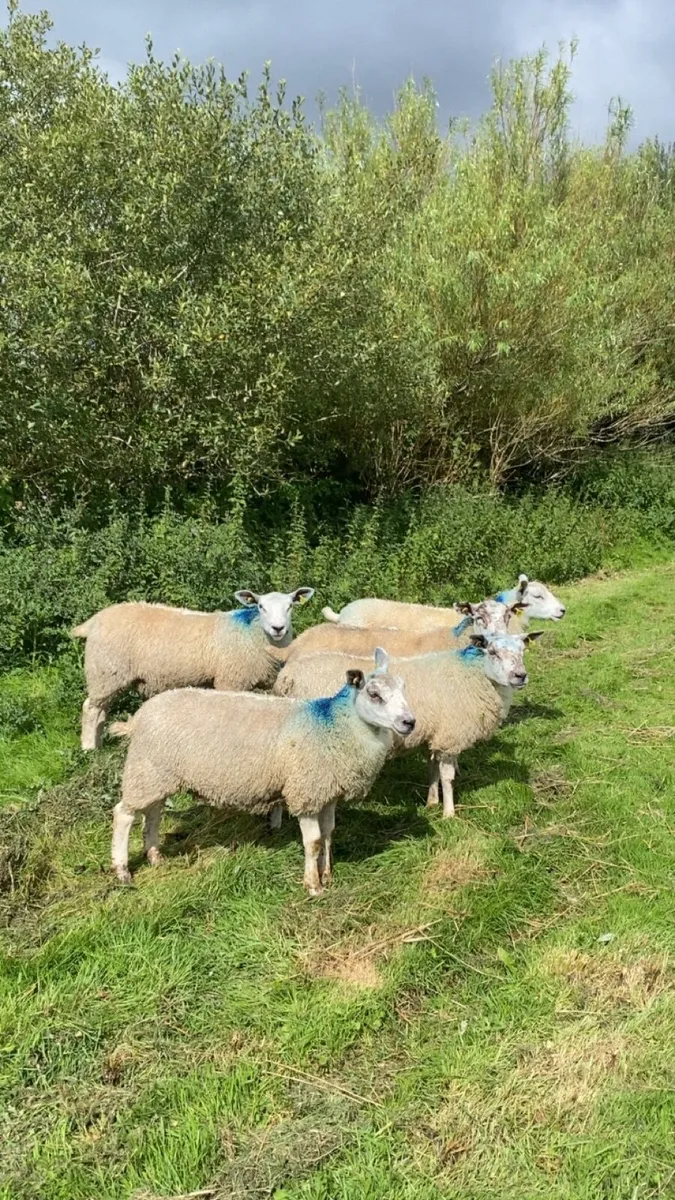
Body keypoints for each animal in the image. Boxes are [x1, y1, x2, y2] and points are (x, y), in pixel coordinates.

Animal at [72, 587, 315, 752]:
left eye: (290, 606)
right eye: (260, 607)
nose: (278, 628)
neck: (252, 634)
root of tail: (94, 620)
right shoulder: (230, 681)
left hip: (108, 675)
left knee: (101, 710)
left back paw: (99, 745)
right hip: (105, 672)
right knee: (91, 709)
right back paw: (88, 749)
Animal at [109, 652, 415, 896]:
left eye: (403, 688)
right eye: (374, 694)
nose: (409, 722)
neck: (332, 725)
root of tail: (139, 716)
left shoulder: (327, 791)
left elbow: (329, 834)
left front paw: (327, 874)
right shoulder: (305, 791)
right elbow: (314, 841)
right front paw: (313, 886)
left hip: (157, 773)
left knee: (153, 813)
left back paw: (154, 856)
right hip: (145, 769)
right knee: (124, 814)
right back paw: (122, 871)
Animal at [274, 631, 542, 817]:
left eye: (523, 650)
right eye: (493, 652)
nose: (520, 676)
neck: (474, 675)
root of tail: (286, 676)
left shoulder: (434, 734)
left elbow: (432, 770)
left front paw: (432, 802)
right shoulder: (450, 736)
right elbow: (448, 777)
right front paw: (449, 814)